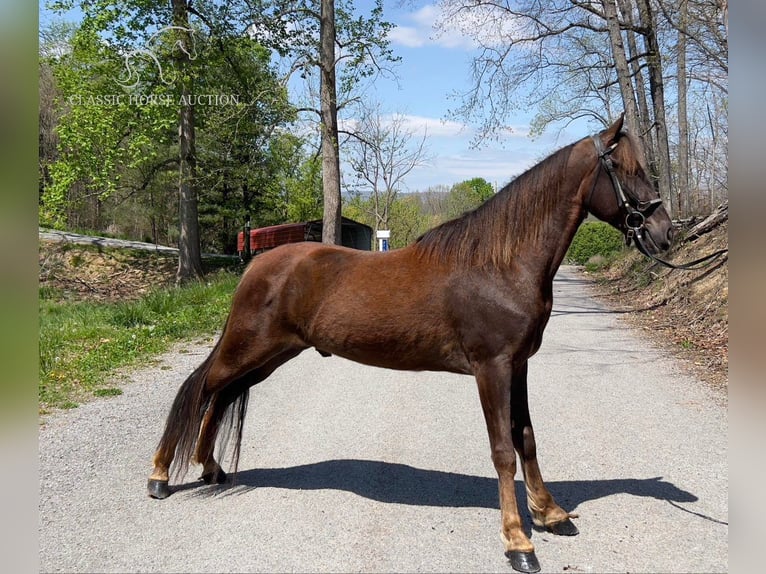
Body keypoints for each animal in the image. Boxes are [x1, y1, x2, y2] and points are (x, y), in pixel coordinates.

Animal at [147, 115, 676, 572]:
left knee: (219, 396)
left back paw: (210, 468)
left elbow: (526, 438)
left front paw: (551, 514)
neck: (500, 263)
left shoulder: (519, 365)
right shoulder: (492, 368)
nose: (664, 232)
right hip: (248, 348)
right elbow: (502, 450)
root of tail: (256, 263)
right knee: (199, 389)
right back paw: (159, 477)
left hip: (270, 356)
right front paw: (518, 541)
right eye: (627, 169)